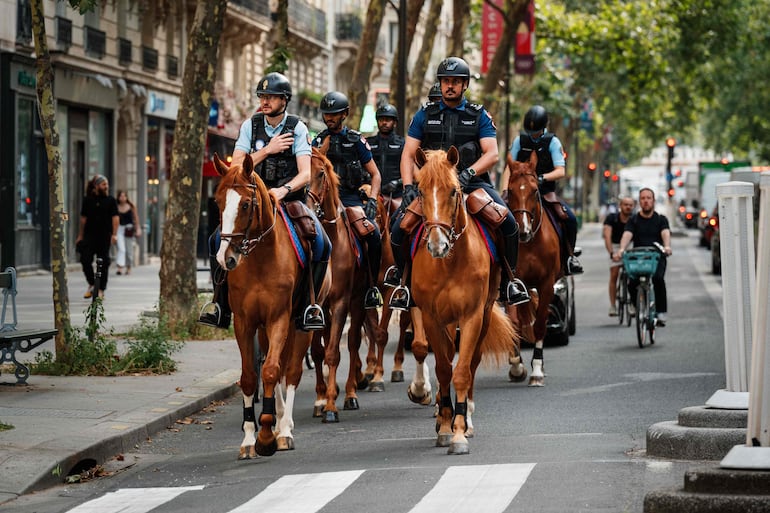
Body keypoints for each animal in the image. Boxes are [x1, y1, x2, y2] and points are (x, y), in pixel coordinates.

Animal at [210, 152, 320, 456]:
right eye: (218, 202)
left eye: (246, 204)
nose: (226, 258)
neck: (259, 258)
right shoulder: (245, 322)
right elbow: (250, 376)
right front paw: (250, 438)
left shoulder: (279, 317)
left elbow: (271, 371)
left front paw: (269, 435)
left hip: (300, 324)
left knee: (290, 372)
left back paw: (285, 428)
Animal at [306, 146, 378, 422]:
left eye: (321, 173)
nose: (307, 206)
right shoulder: (316, 306)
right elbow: (319, 351)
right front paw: (320, 399)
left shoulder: (340, 303)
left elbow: (334, 352)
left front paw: (330, 407)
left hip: (357, 301)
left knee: (353, 343)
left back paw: (349, 394)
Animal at [402, 146, 516, 454]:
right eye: (419, 191)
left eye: (454, 190)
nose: (436, 245)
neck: (450, 262)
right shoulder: (431, 317)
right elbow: (443, 369)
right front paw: (444, 426)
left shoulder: (472, 315)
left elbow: (463, 371)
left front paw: (459, 432)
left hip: (484, 315)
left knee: (473, 361)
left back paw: (468, 417)